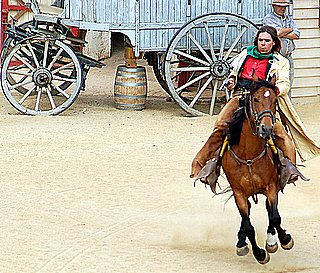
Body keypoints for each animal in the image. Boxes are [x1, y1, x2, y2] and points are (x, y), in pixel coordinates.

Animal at [195, 74, 308, 264]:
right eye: (255, 99)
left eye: (275, 100)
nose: (266, 128)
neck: (248, 155)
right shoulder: (239, 192)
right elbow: (248, 226)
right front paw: (259, 253)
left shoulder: (271, 187)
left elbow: (275, 216)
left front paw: (280, 240)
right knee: (247, 217)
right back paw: (242, 243)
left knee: (270, 212)